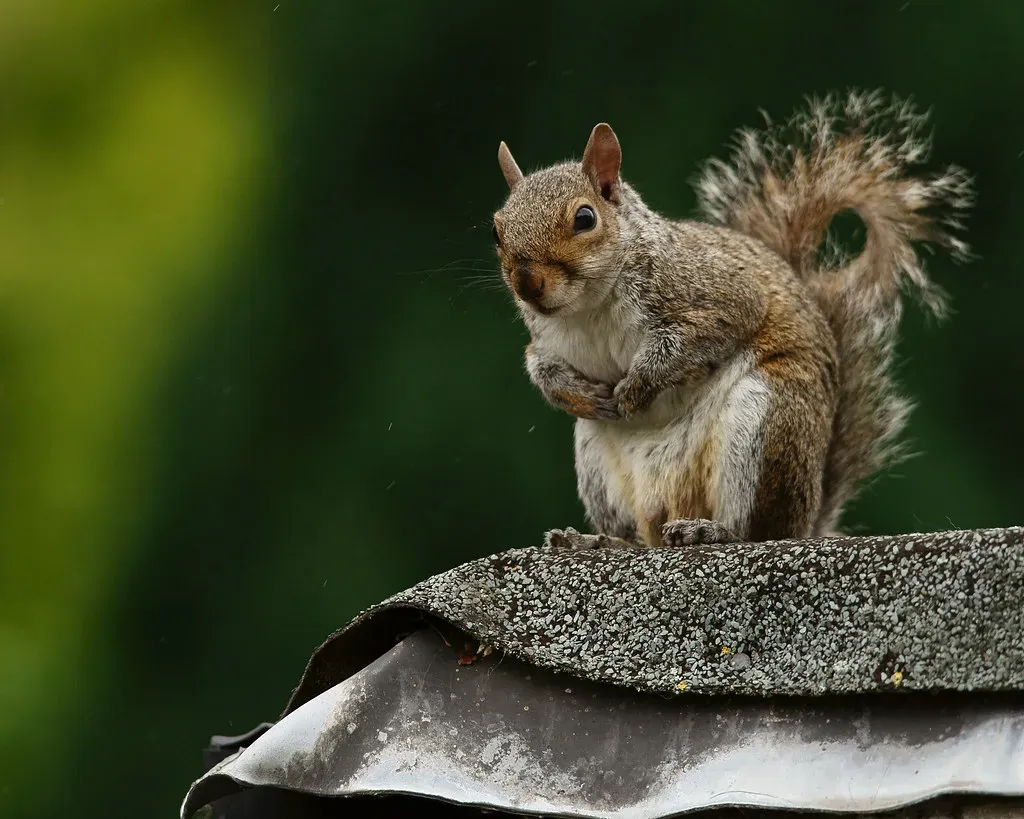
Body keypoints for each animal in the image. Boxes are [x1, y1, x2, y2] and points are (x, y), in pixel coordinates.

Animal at [491, 90, 973, 549]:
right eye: (496, 230)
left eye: (585, 218)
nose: (527, 283)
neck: (588, 308)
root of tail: (807, 520)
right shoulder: (545, 339)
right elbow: (541, 367)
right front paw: (578, 394)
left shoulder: (713, 293)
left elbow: (697, 336)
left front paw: (636, 387)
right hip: (596, 460)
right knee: (636, 536)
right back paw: (597, 540)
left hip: (766, 419)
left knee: (760, 528)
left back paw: (712, 532)